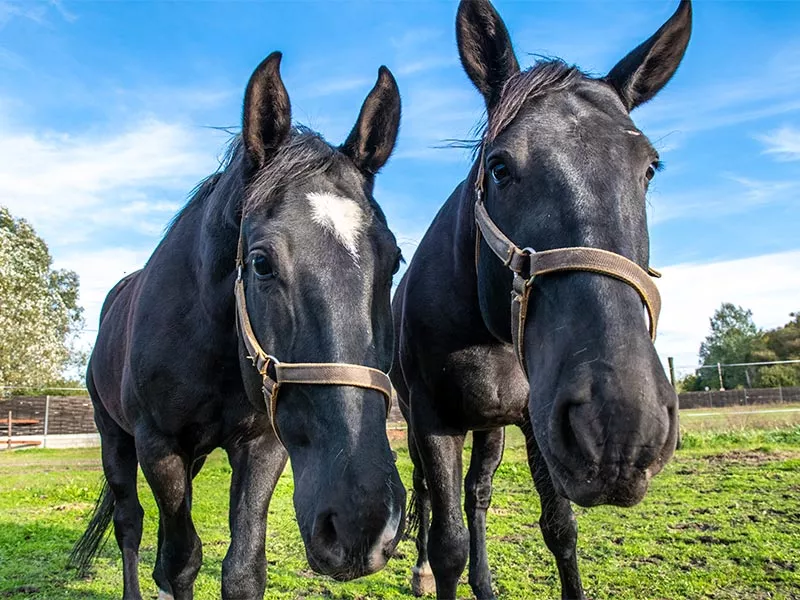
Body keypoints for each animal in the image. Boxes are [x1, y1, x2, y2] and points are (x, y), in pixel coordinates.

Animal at [71, 52, 404, 600]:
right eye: (261, 263)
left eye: (394, 261)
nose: (363, 522)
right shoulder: (159, 447)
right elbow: (181, 561)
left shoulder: (262, 445)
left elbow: (242, 569)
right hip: (113, 437)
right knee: (130, 524)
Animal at [390, 1, 692, 600]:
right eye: (500, 166)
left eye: (648, 168)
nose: (623, 423)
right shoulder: (432, 419)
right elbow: (448, 541)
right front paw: (435, 567)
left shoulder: (536, 421)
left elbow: (560, 529)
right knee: (433, 499)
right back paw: (421, 570)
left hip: (491, 426)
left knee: (477, 494)